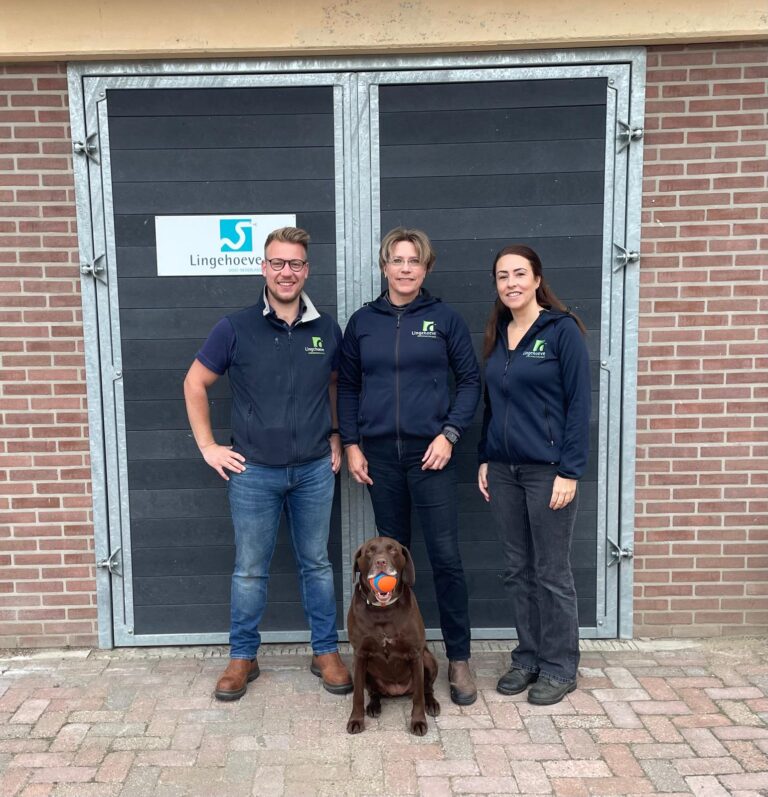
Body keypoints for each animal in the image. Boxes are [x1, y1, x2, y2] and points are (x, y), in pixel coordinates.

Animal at [346, 536, 440, 736]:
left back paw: (432, 703)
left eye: (393, 550)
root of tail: (397, 690)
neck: (383, 610)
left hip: (428, 659)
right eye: (370, 551)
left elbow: (418, 696)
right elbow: (357, 695)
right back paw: (373, 706)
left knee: (427, 688)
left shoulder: (415, 653)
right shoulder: (359, 655)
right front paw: (356, 719)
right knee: (374, 693)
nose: (381, 562)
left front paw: (418, 721)